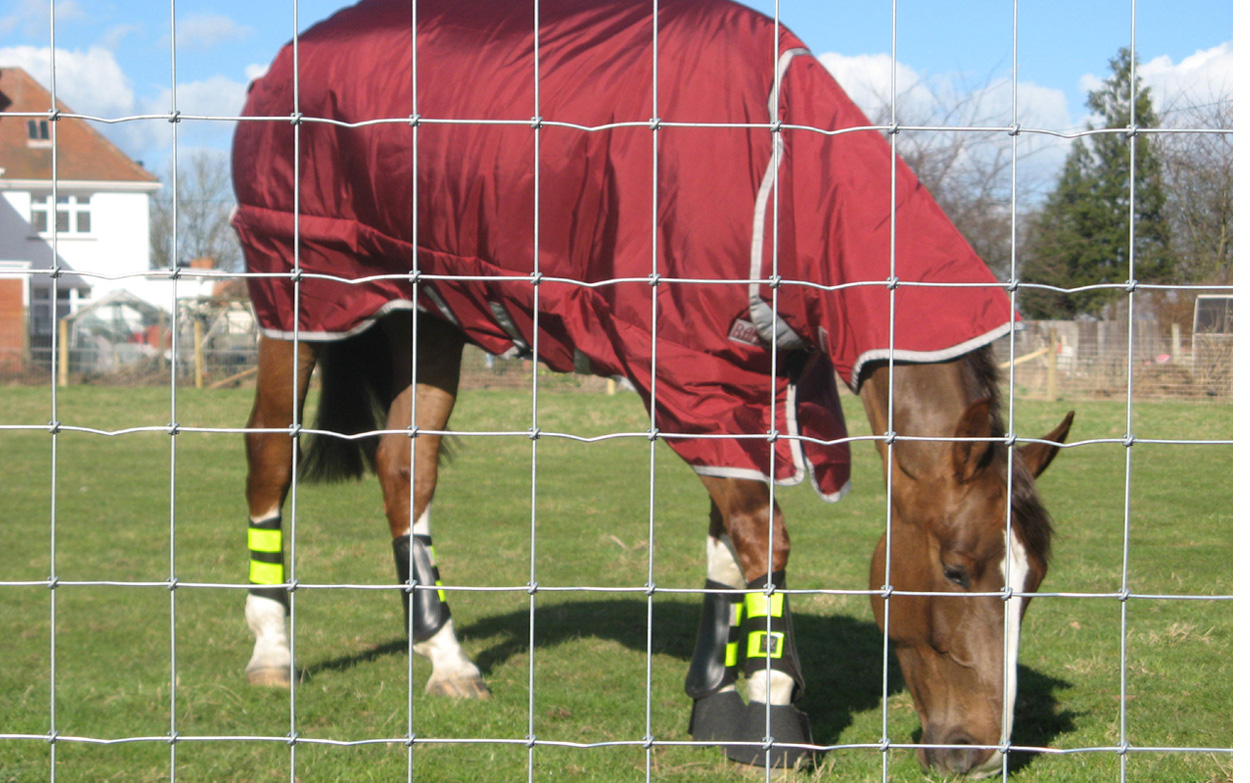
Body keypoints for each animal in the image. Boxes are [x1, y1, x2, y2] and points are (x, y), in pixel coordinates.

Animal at [232, 0, 1075, 770]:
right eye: (957, 570)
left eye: (1033, 581)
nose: (980, 752)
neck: (780, 169)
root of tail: (286, 59)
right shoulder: (684, 374)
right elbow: (763, 536)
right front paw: (772, 710)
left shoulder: (745, 383)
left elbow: (729, 542)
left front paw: (719, 695)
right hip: (298, 295)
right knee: (269, 453)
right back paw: (271, 649)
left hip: (428, 312)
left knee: (406, 469)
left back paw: (448, 658)